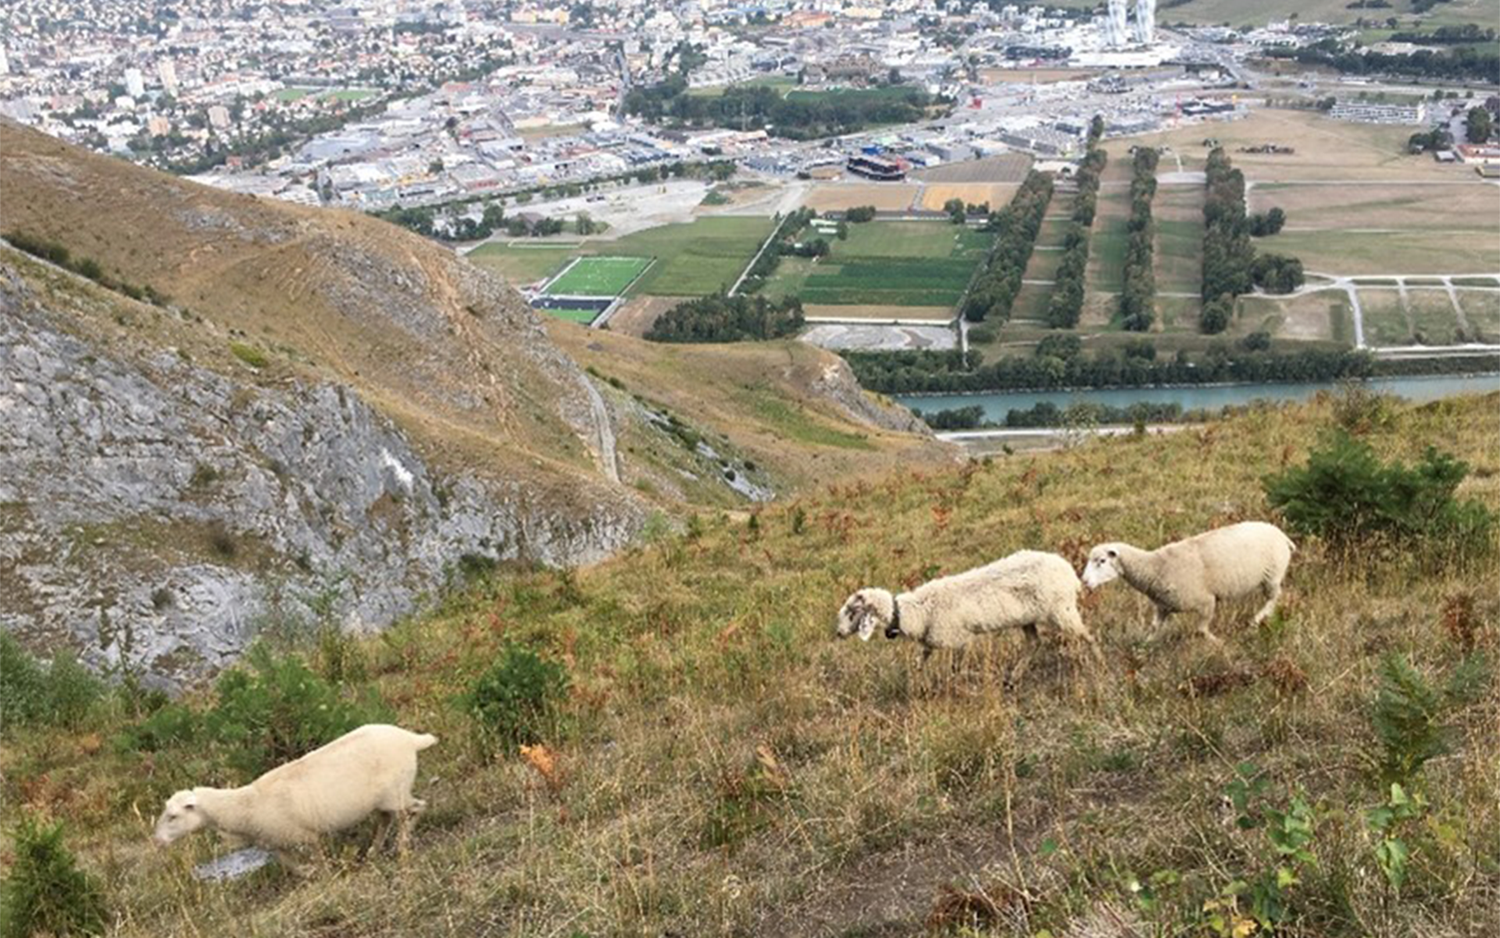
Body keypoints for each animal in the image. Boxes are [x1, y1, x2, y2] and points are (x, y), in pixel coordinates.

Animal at [152, 724, 438, 872]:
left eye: (173, 816)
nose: (157, 841)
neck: (245, 805)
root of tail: (412, 739)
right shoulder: (275, 841)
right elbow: (289, 864)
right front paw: (308, 873)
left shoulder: (304, 836)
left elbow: (318, 860)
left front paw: (323, 874)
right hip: (384, 799)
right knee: (386, 819)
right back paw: (373, 851)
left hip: (396, 792)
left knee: (417, 808)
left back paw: (402, 845)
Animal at [835, 550, 1097, 665]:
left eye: (851, 611)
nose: (838, 633)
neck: (916, 610)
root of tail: (1069, 572)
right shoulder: (931, 642)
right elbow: (921, 662)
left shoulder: (959, 639)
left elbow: (955, 668)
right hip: (1028, 617)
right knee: (1034, 644)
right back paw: (1012, 679)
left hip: (1061, 610)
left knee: (1087, 636)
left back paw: (1098, 661)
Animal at [1081, 521, 1295, 643]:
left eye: (1101, 561)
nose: (1084, 581)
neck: (1155, 566)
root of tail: (1282, 535)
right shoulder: (1163, 607)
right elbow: (1154, 628)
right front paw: (1145, 646)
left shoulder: (1206, 601)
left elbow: (1201, 630)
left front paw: (1218, 643)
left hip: (1273, 575)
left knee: (1274, 598)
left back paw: (1256, 620)